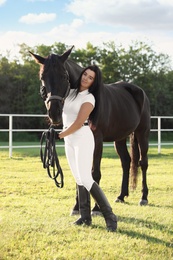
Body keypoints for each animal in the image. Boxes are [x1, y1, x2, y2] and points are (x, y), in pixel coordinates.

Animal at [29, 47, 150, 209]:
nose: (54, 113)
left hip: (142, 133)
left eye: (64, 76)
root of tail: (140, 92)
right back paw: (121, 196)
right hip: (119, 138)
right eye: (42, 77)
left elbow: (95, 172)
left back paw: (143, 197)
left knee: (143, 163)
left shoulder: (97, 139)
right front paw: (77, 206)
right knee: (126, 161)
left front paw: (96, 208)